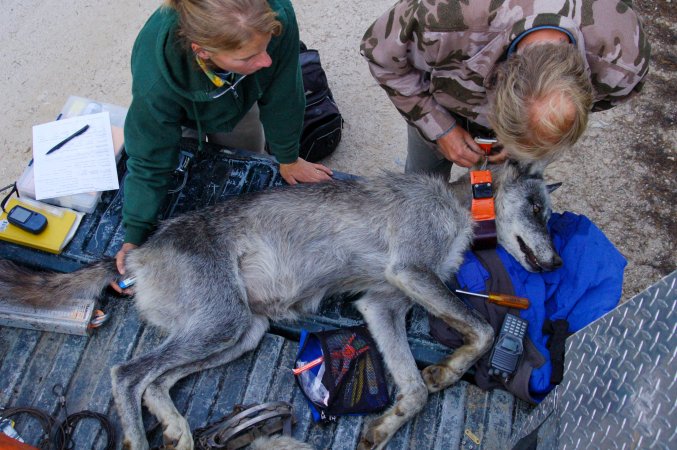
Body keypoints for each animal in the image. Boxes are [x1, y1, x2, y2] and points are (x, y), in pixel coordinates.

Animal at [0, 160, 560, 448]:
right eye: (537, 209)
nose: (555, 263)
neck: (460, 205)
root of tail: (138, 250)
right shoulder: (410, 273)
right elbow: (482, 330)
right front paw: (448, 369)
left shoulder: (381, 306)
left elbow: (416, 389)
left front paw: (389, 422)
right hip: (220, 324)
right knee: (125, 374)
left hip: (237, 334)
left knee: (155, 381)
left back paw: (177, 430)